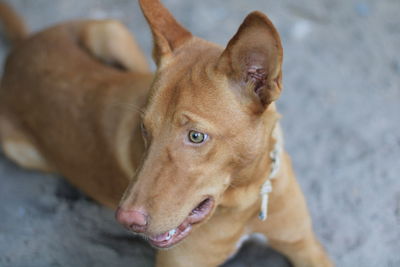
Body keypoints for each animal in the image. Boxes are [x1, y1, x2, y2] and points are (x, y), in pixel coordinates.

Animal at [0, 0, 332, 267]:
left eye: (196, 136)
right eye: (144, 129)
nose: (126, 220)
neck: (246, 199)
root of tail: (23, 45)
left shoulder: (304, 245)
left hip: (112, 33)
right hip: (20, 150)